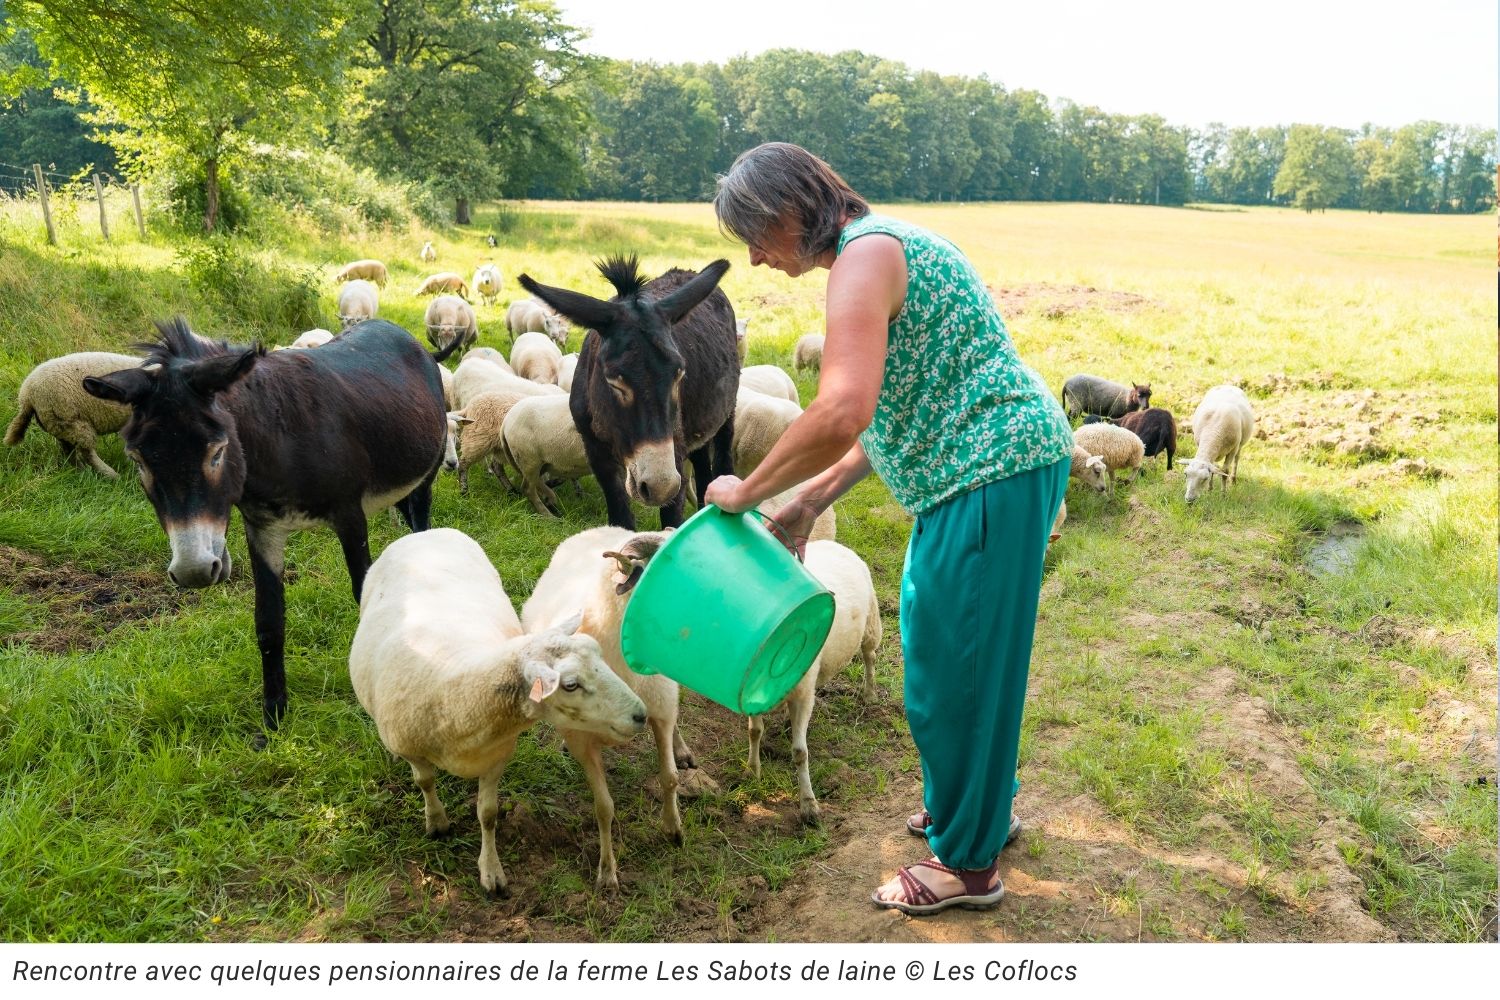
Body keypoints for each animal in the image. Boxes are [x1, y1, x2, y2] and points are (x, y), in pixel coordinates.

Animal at [4, 350, 138, 479]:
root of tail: (26, 396)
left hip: (59, 423)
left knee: (69, 451)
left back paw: (80, 471)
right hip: (74, 420)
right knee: (87, 452)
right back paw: (111, 475)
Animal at [349, 527, 645, 893]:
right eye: (570, 684)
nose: (640, 714)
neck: (455, 693)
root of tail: (425, 532)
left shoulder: (496, 757)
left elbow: (487, 813)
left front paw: (491, 871)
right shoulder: (413, 749)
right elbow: (425, 781)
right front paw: (437, 822)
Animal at [519, 530, 699, 893]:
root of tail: (597, 528)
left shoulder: (659, 708)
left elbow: (670, 778)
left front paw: (674, 829)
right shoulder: (583, 742)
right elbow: (604, 808)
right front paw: (607, 872)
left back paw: (683, 749)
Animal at [747, 542, 876, 827]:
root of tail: (832, 543)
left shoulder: (804, 695)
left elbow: (799, 752)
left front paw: (809, 805)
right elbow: (755, 731)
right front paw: (752, 771)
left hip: (871, 625)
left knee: (870, 657)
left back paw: (870, 694)